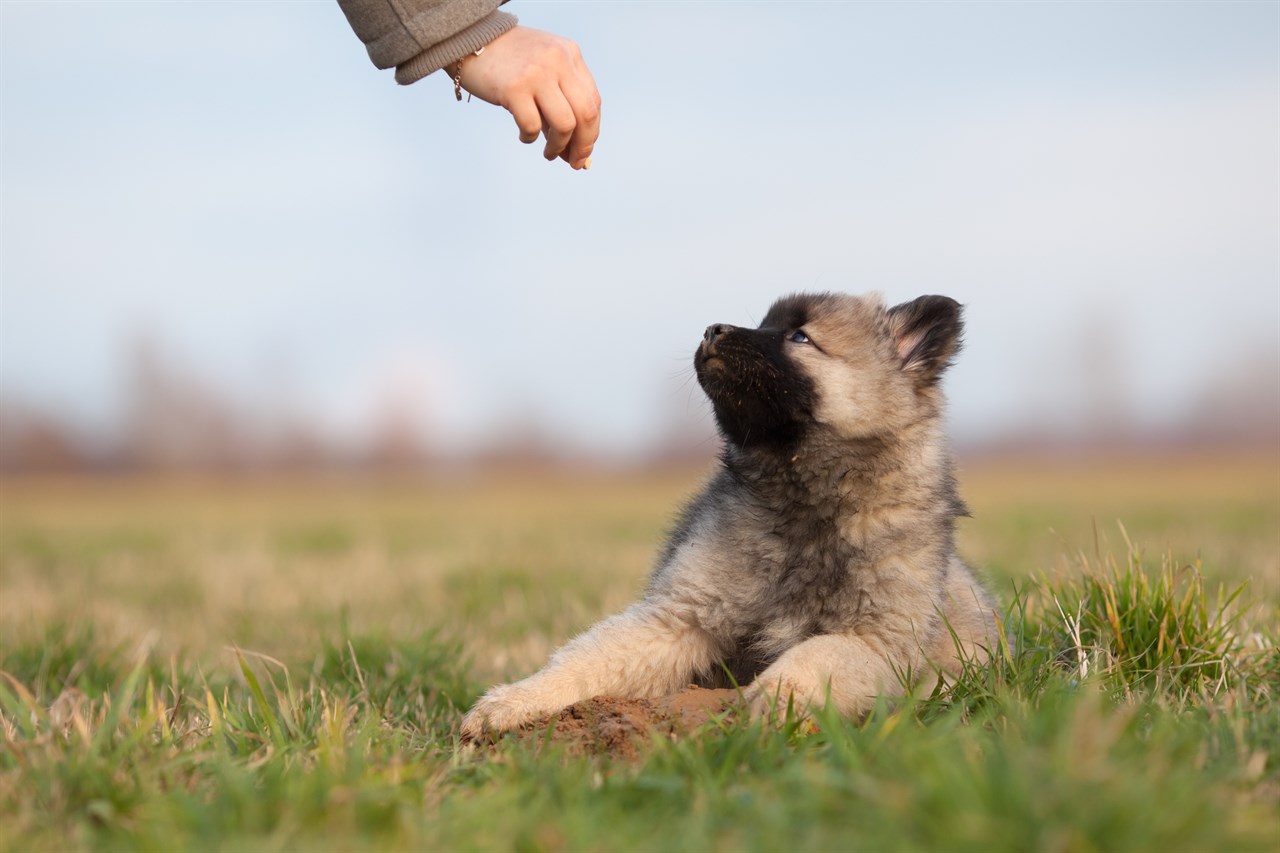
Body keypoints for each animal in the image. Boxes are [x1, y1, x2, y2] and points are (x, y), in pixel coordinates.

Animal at [463, 294, 998, 737]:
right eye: (763, 322)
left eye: (799, 336)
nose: (711, 329)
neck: (802, 502)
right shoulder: (681, 617)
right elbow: (589, 658)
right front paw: (515, 701)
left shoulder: (875, 639)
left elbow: (809, 658)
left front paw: (769, 707)